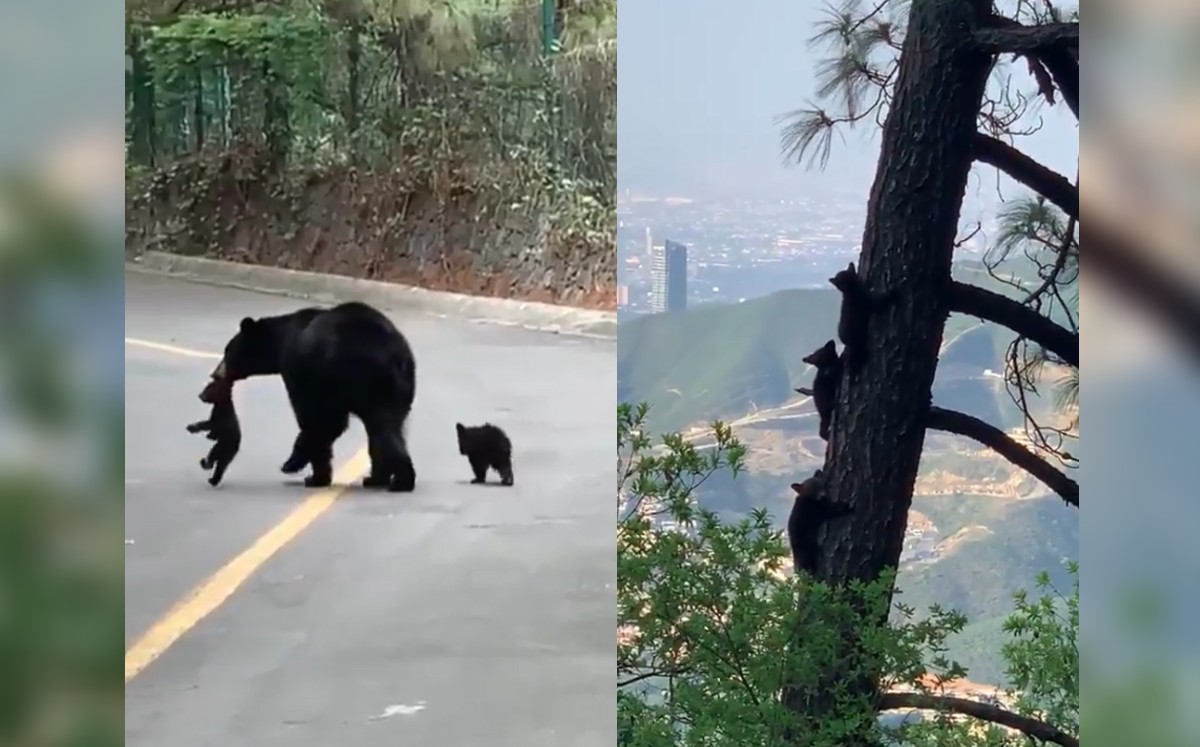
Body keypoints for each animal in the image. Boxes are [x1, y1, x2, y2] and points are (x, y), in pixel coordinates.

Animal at [209, 301, 418, 492]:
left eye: (228, 351)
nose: (216, 374)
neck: (282, 341)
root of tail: (396, 356)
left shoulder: (306, 374)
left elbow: (317, 420)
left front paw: (305, 470)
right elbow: (329, 424)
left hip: (367, 380)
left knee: (383, 427)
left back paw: (401, 481)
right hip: (397, 390)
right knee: (386, 428)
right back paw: (377, 478)